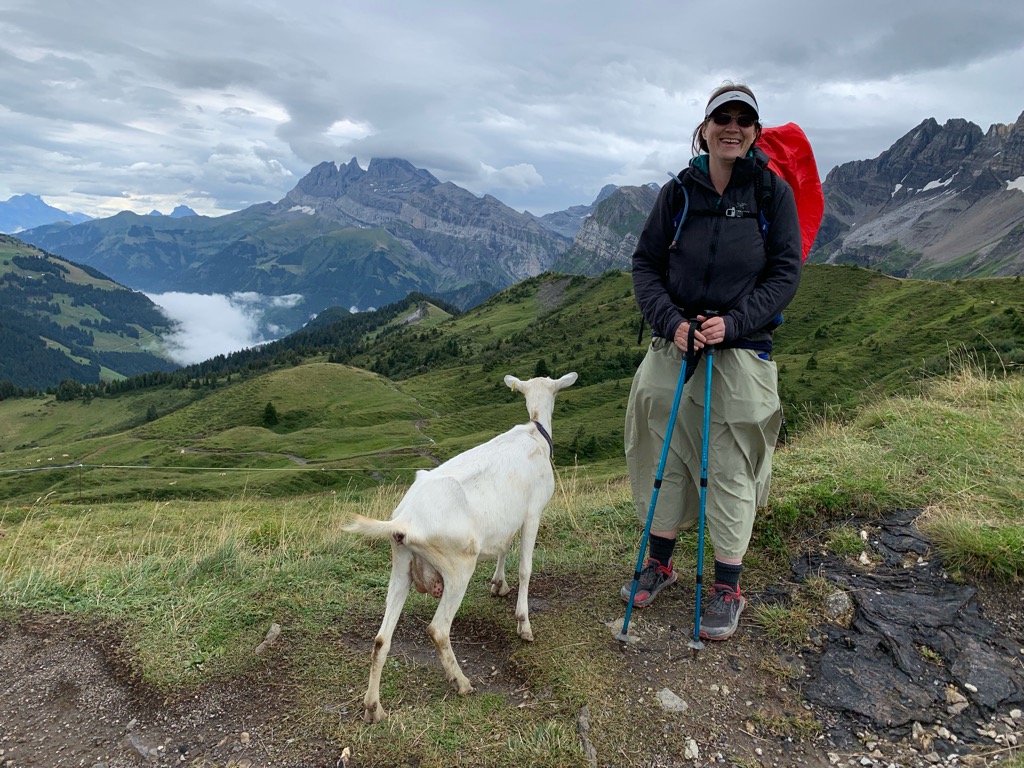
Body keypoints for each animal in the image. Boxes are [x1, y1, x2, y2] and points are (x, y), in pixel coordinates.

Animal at [344, 371, 578, 723]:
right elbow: (526, 567)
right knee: (438, 629)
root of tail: (405, 521)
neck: (536, 433)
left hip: (401, 567)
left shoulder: (507, 518)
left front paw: (498, 584)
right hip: (457, 568)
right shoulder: (533, 511)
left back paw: (374, 707)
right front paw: (523, 624)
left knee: (381, 638)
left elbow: (504, 547)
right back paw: (462, 682)